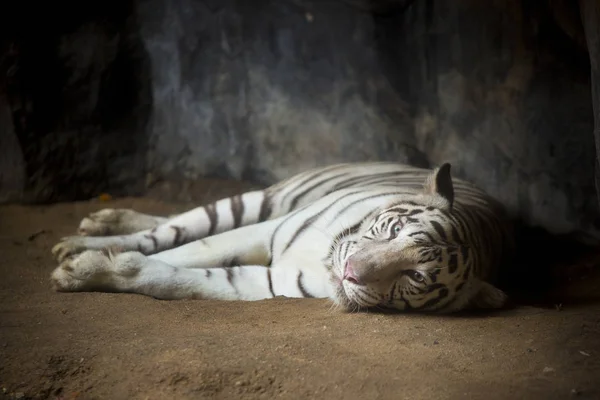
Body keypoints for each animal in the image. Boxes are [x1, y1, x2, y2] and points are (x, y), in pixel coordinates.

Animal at [49, 162, 512, 312]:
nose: (350, 272)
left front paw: (85, 271)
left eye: (415, 276)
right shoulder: (264, 231)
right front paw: (80, 264)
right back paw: (91, 231)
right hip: (260, 201)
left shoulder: (269, 282)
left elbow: (176, 277)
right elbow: (185, 248)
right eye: (395, 231)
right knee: (176, 223)